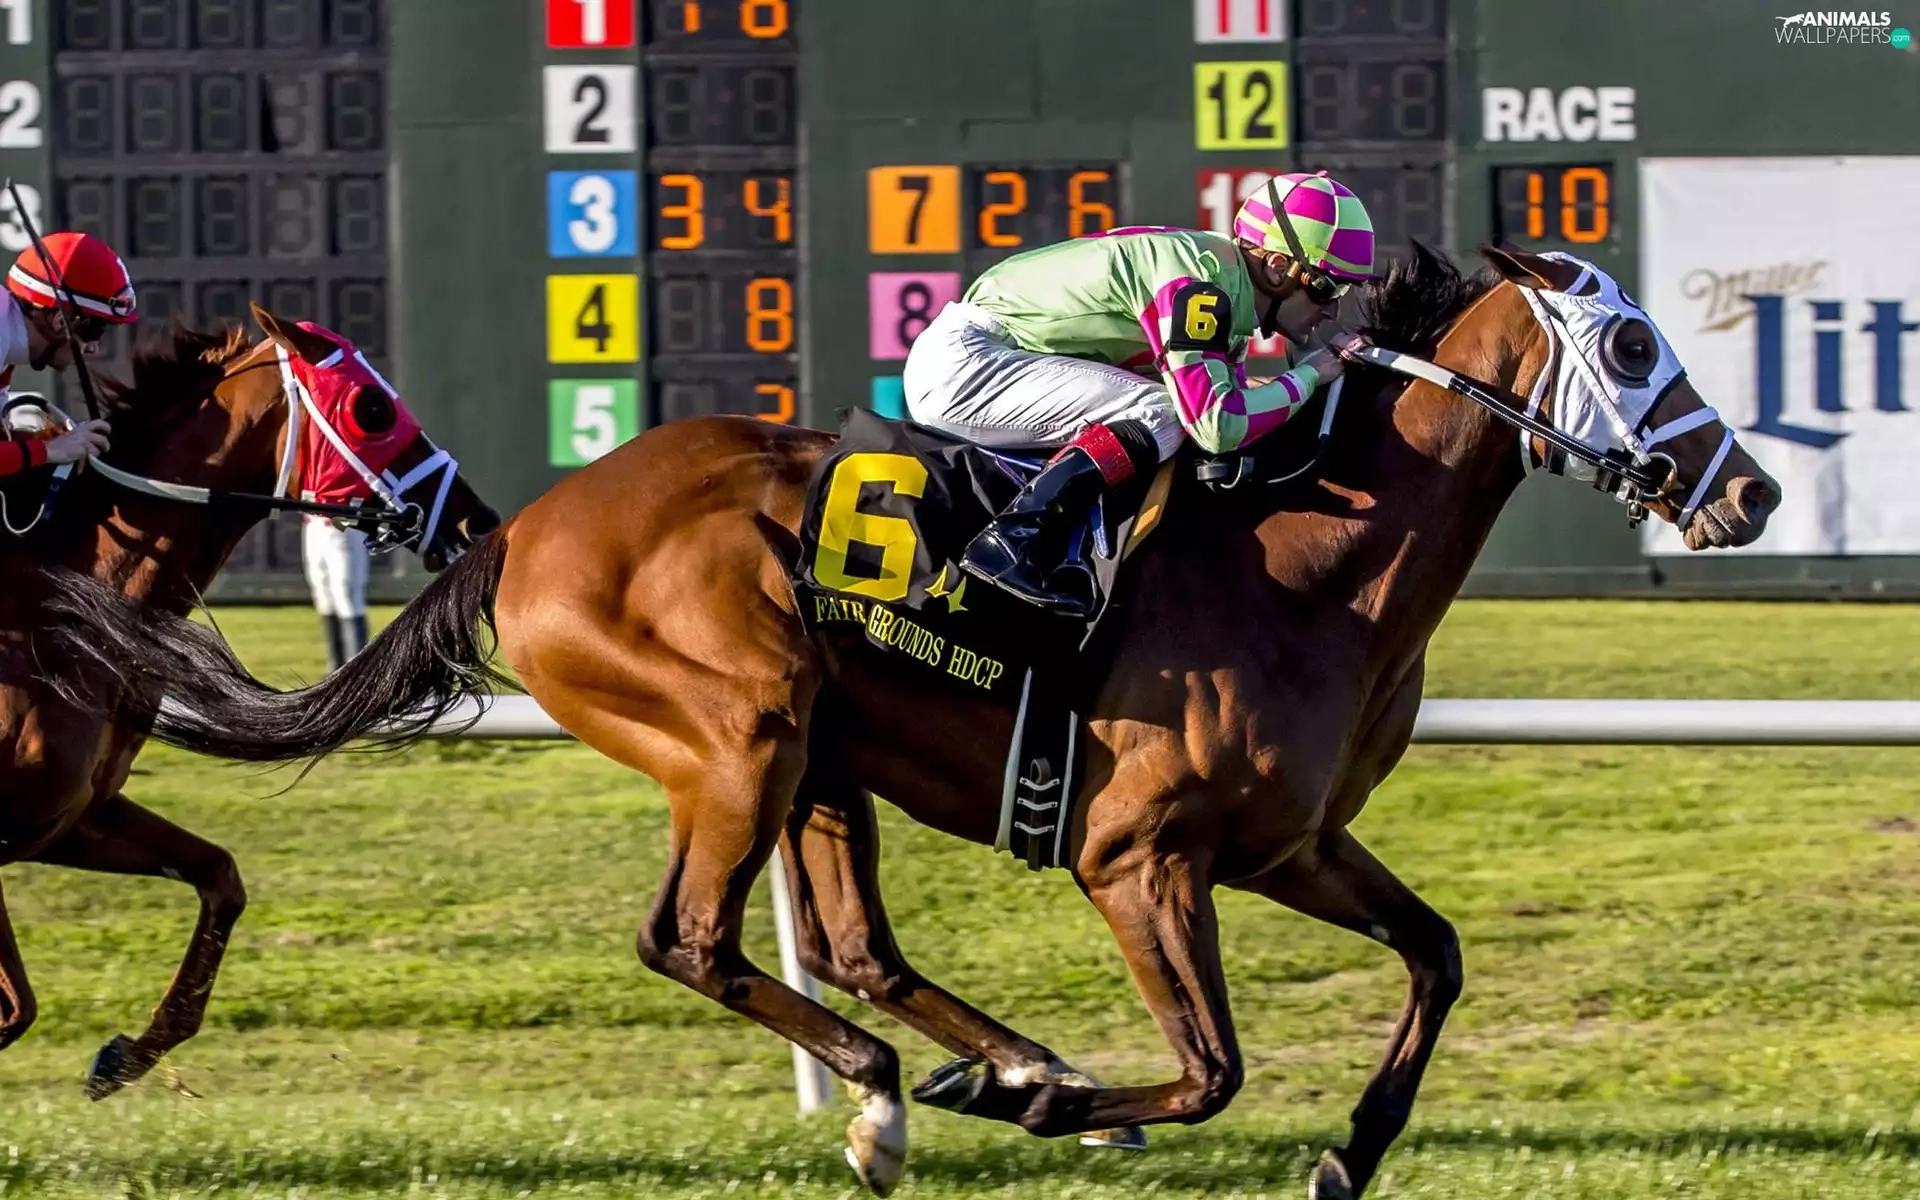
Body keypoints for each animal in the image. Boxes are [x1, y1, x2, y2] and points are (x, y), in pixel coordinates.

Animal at [0, 304, 499, 1098]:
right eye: (373, 409)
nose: (475, 522)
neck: (64, 605)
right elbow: (15, 1009)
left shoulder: (70, 818)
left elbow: (221, 878)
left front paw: (126, 1054)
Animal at [68, 245, 1781, 1197]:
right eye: (1633, 345)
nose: (1752, 494)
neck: (1306, 555)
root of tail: (529, 526)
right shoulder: (1135, 858)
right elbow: (1213, 1065)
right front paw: (1074, 1108)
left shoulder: (1288, 845)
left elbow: (1436, 958)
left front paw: (1345, 1155)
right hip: (742, 726)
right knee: (694, 938)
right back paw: (906, 1098)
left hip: (822, 757)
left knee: (854, 948)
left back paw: (988, 1068)